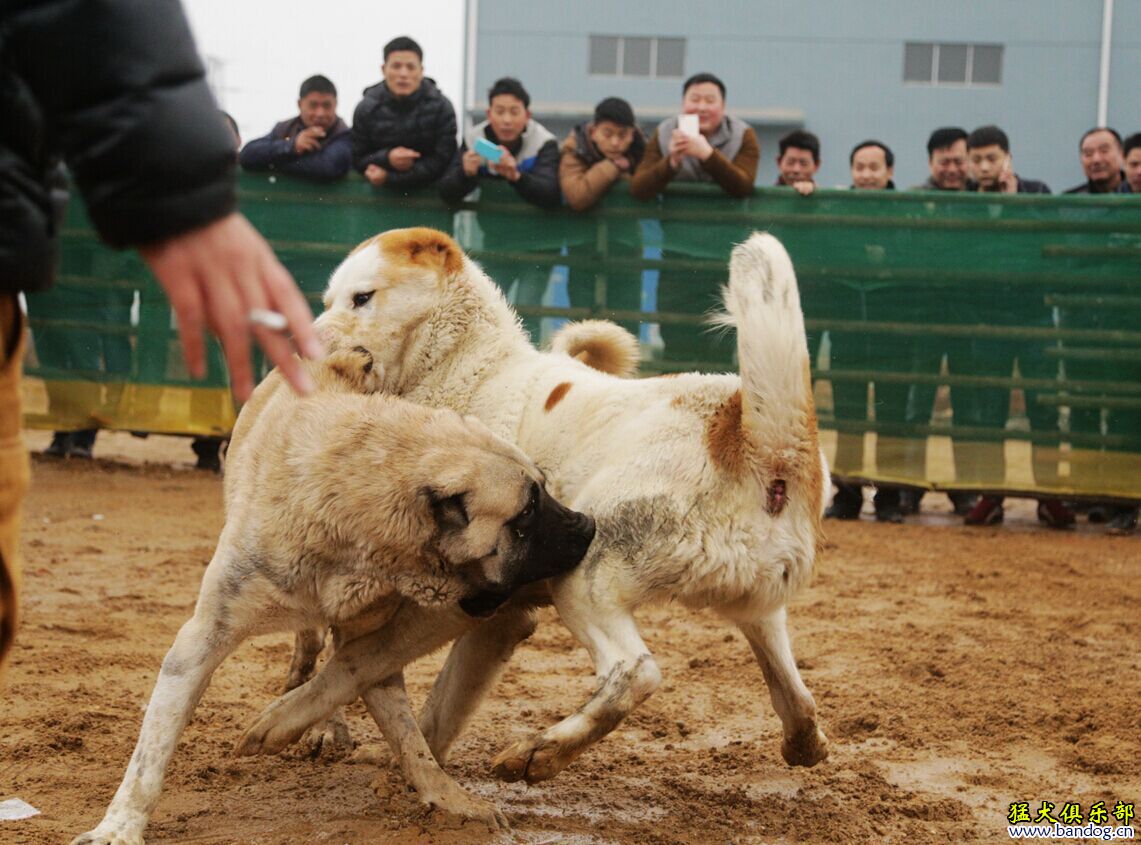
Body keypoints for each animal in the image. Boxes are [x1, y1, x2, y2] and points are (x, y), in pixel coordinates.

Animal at [73, 346, 597, 839]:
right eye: (527, 511)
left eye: (544, 489)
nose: (589, 526)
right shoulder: (201, 638)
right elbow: (150, 753)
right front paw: (118, 827)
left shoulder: (372, 639)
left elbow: (395, 723)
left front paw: (447, 797)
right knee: (308, 646)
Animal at [240, 225, 830, 784]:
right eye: (328, 298)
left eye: (362, 297)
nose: (296, 344)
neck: (464, 367)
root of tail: (749, 436)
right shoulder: (495, 619)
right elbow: (437, 703)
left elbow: (362, 665)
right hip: (756, 607)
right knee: (794, 693)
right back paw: (804, 743)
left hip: (587, 575)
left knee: (635, 673)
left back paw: (539, 754)